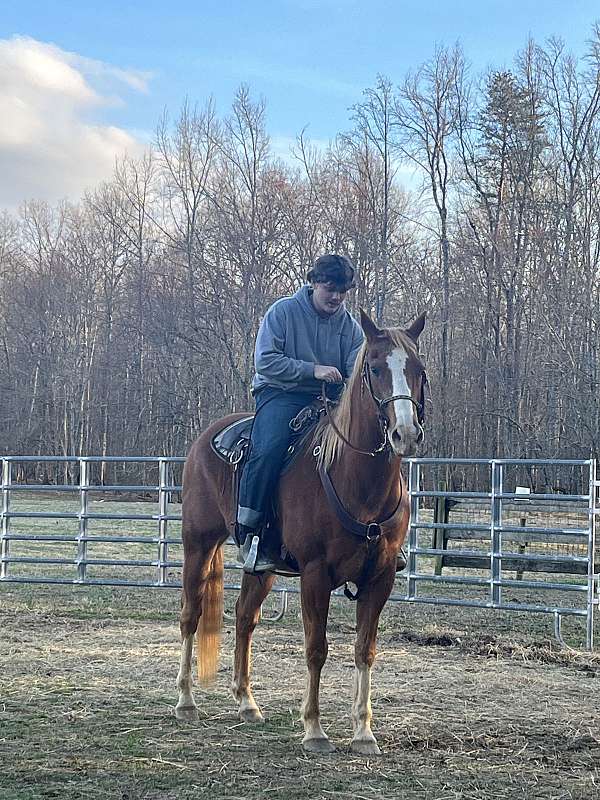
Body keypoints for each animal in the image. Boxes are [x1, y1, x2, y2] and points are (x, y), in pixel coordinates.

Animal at [175, 309, 427, 755]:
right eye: (375, 367)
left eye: (417, 369)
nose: (406, 434)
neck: (354, 479)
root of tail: (209, 435)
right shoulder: (315, 574)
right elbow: (316, 649)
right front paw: (314, 729)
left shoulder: (380, 578)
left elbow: (365, 649)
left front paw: (363, 731)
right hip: (198, 545)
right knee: (191, 614)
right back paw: (186, 701)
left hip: (262, 566)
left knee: (245, 617)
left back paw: (247, 703)